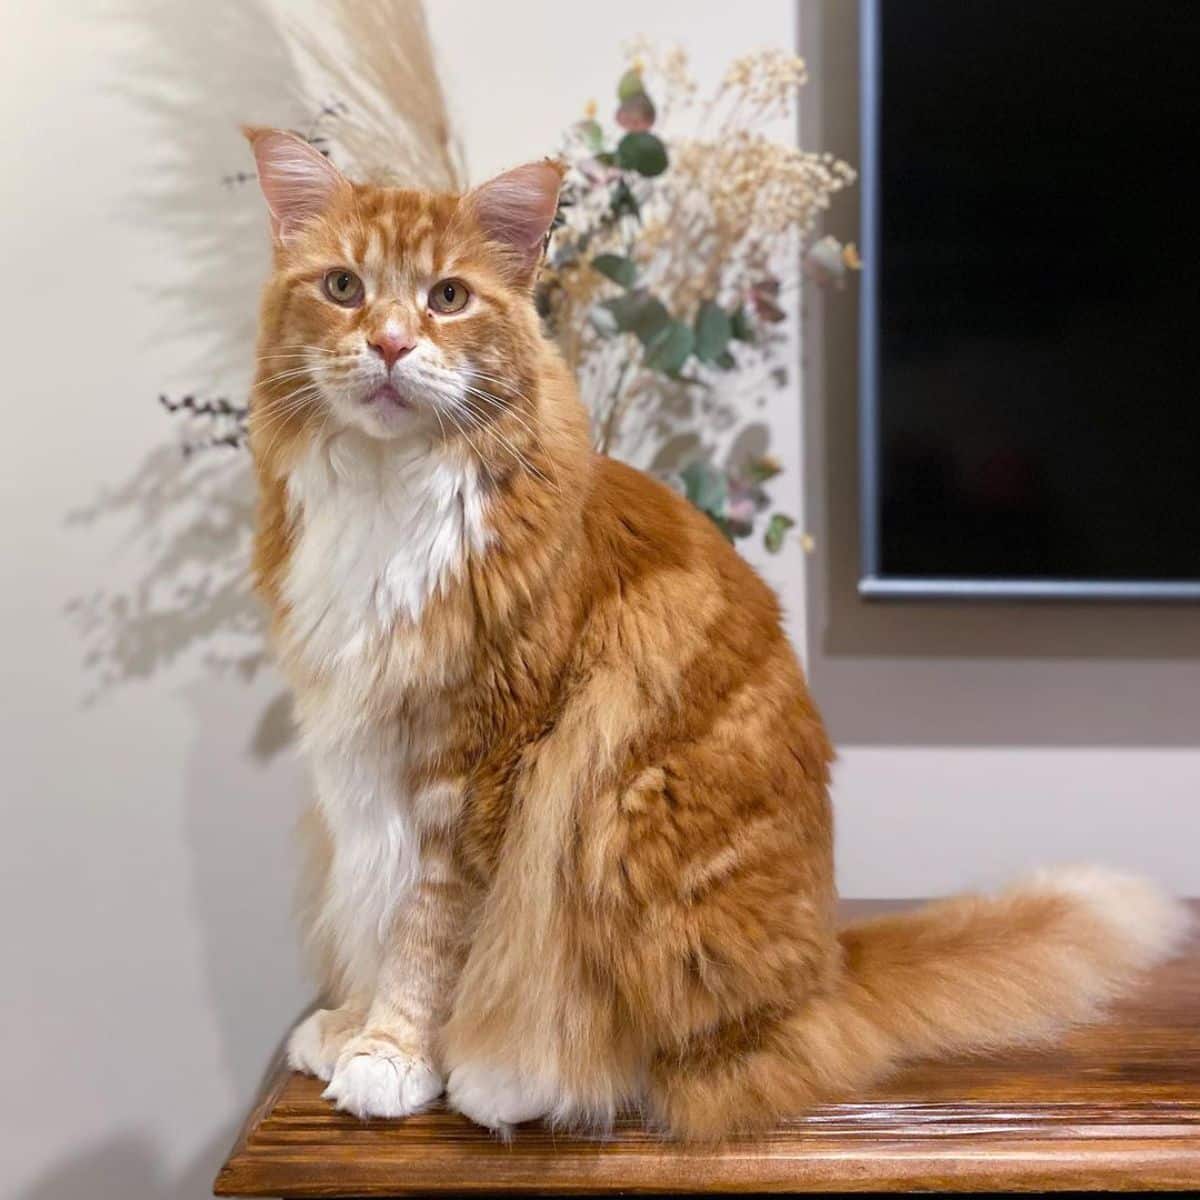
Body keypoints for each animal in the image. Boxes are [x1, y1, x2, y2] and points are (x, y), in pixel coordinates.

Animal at [243, 126, 1190, 1137]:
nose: (388, 343)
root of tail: (829, 970)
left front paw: (395, 1054)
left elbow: (427, 935)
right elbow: (378, 912)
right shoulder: (364, 764)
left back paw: (517, 1078)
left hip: (628, 806)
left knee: (697, 1055)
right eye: (344, 287)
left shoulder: (478, 763)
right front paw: (351, 1024)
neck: (388, 497)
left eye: (447, 297)